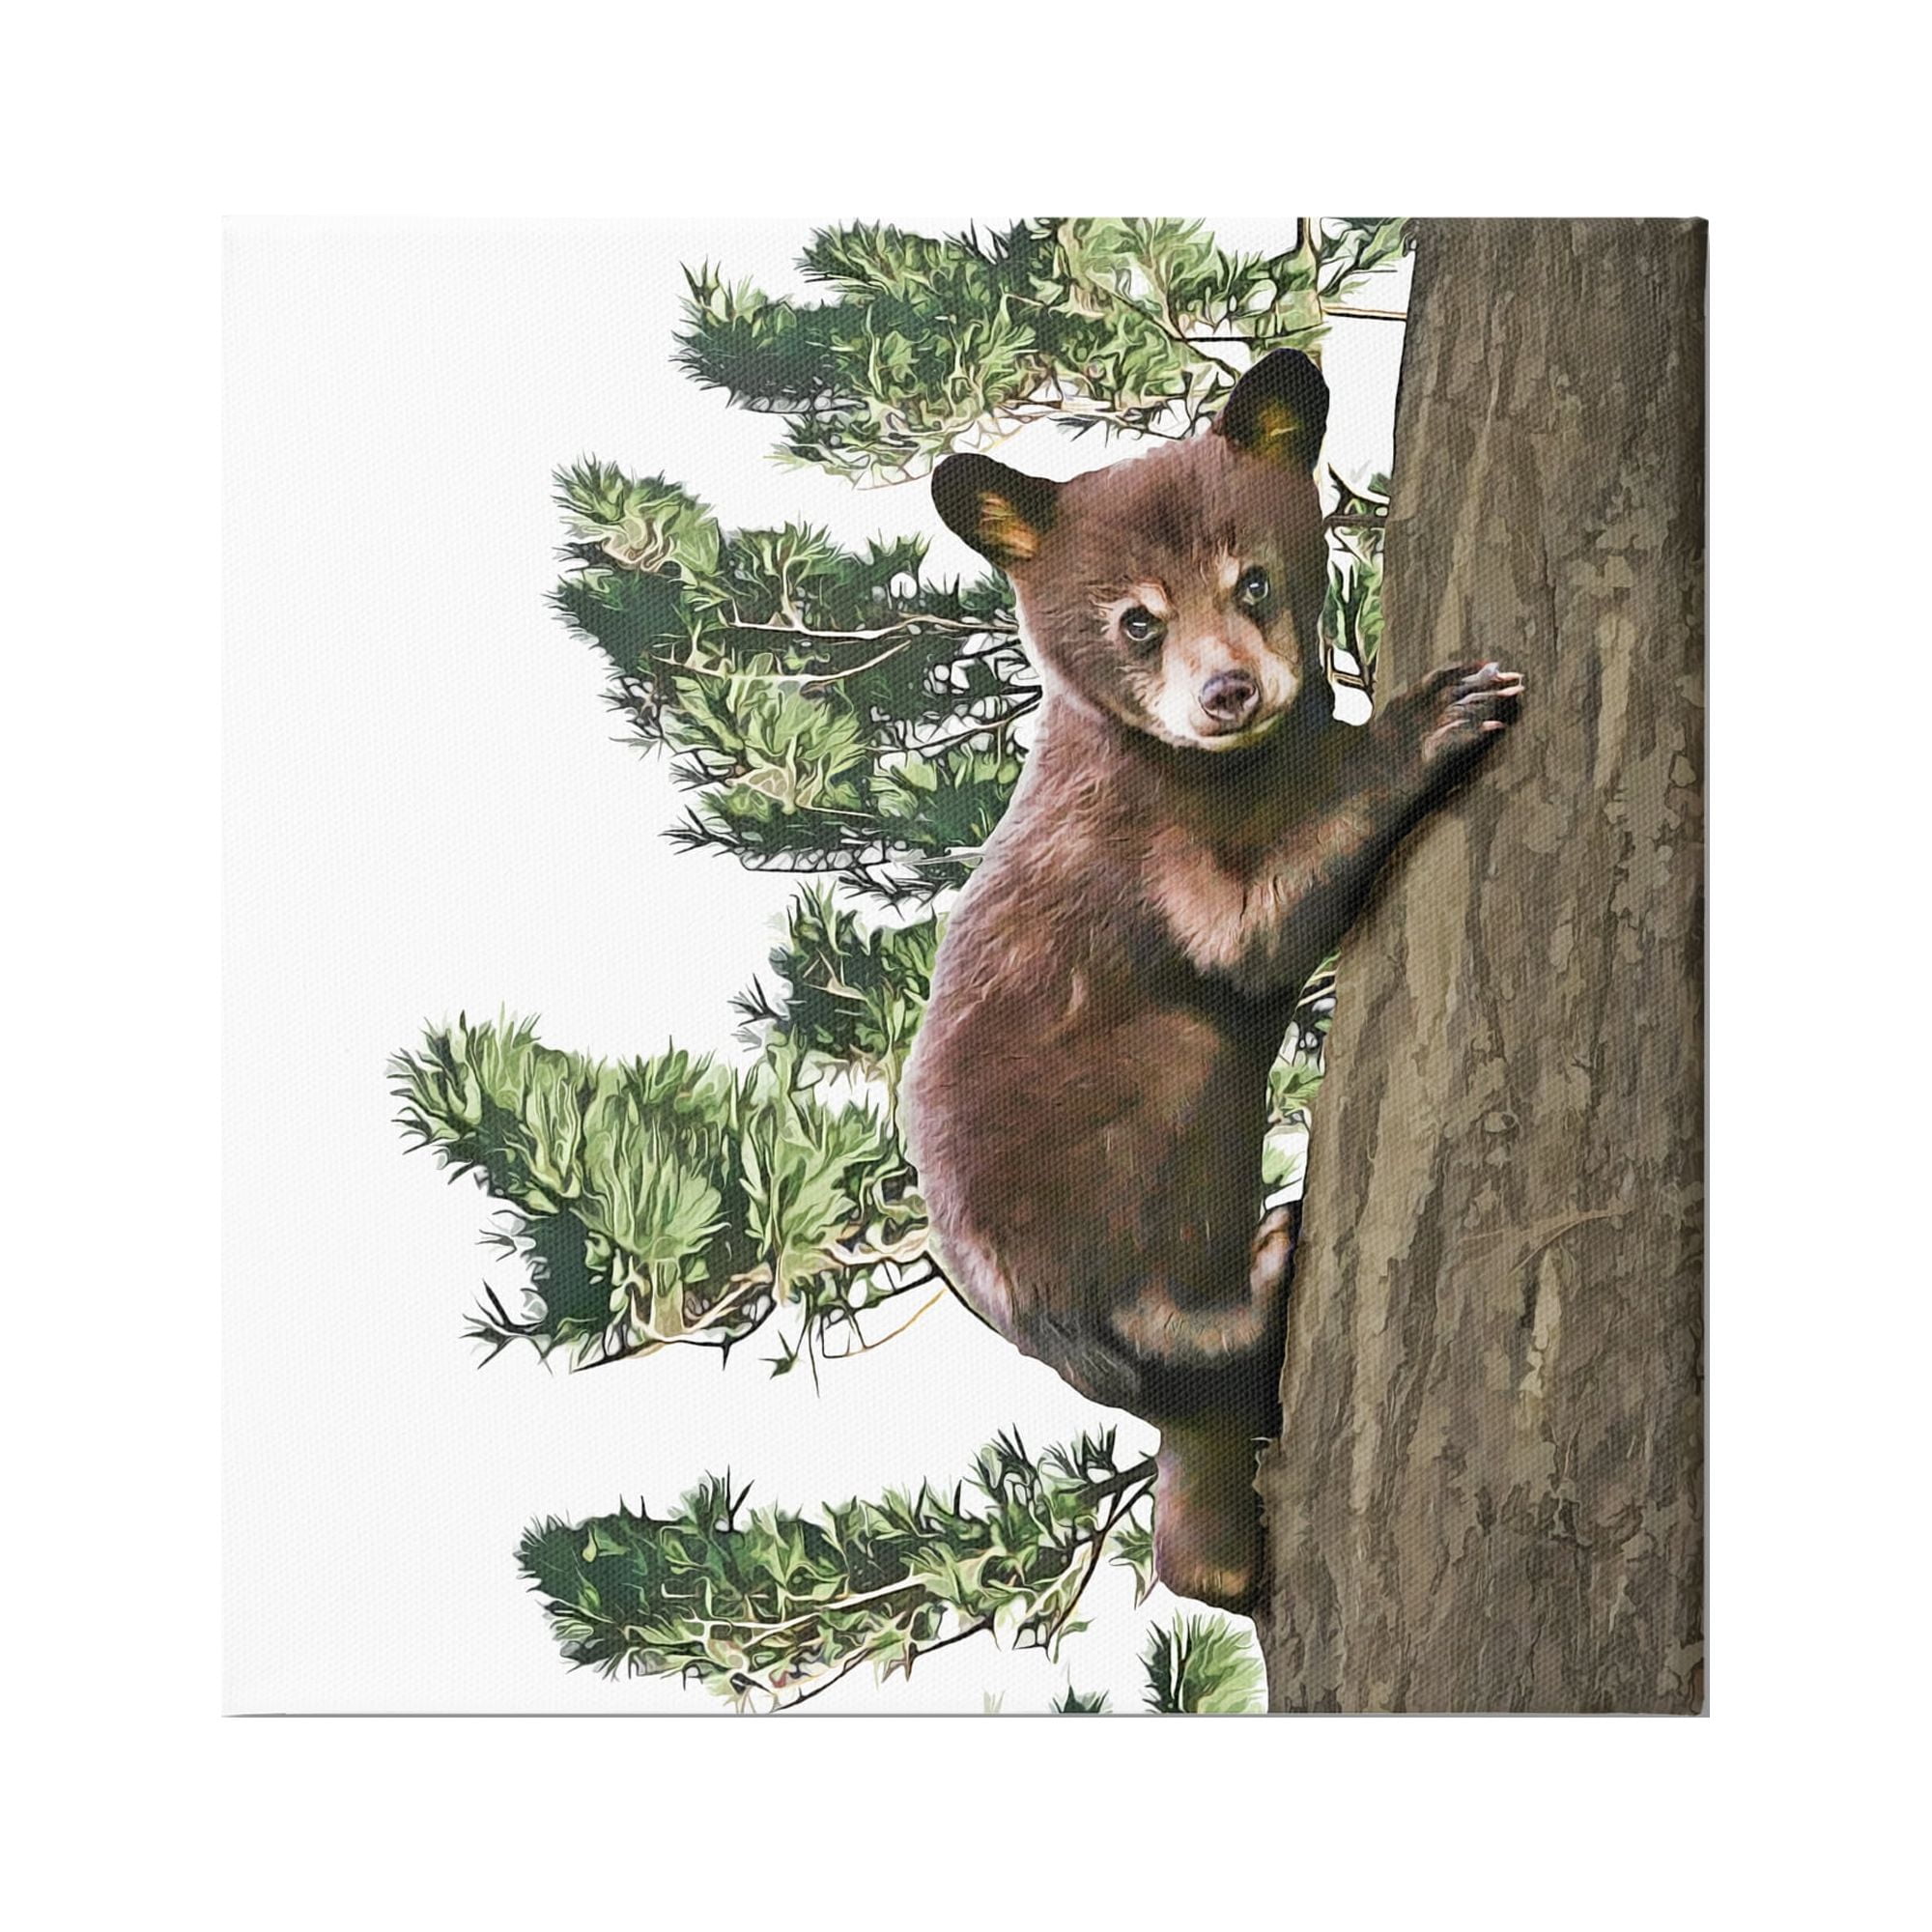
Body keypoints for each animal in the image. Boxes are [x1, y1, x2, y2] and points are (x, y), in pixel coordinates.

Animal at [902, 348, 1522, 1613]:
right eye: (1135, 621)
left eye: (1253, 581)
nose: (1226, 692)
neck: (1231, 767)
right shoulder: (1137, 844)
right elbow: (1248, 933)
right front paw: (1432, 716)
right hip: (1098, 1162)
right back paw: (1262, 1278)